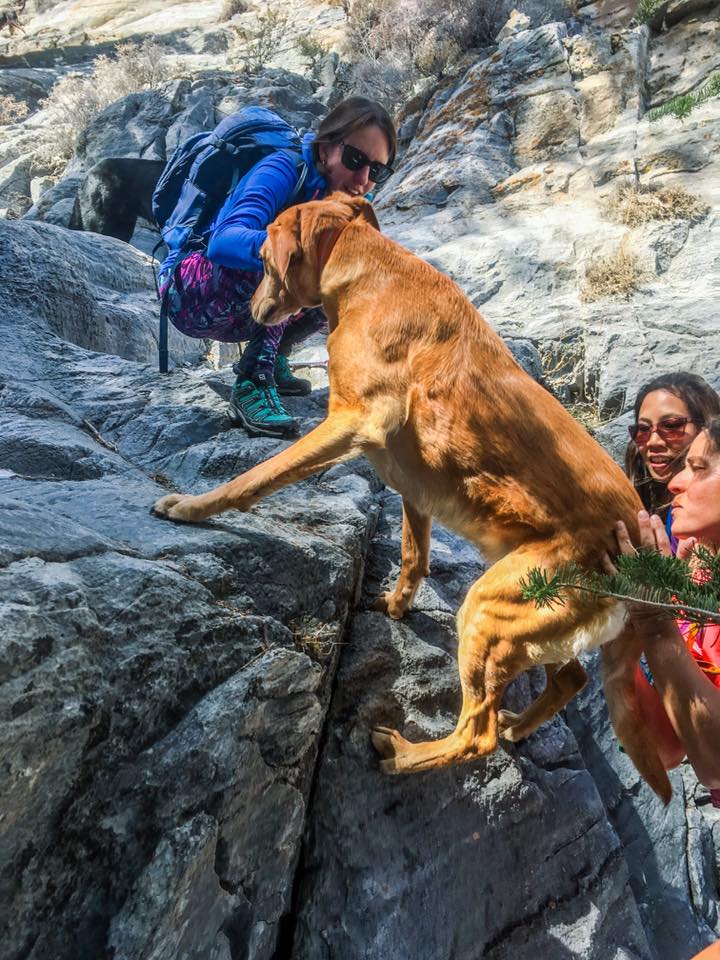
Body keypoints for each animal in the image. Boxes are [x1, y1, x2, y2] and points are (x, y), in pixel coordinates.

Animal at [155, 191, 672, 800]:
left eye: (261, 259)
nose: (254, 312)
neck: (367, 271)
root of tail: (644, 547)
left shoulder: (352, 421)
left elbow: (258, 476)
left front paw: (192, 508)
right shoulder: (415, 489)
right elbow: (412, 555)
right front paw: (397, 606)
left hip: (489, 608)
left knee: (477, 736)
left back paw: (405, 755)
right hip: (529, 610)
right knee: (567, 677)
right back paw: (519, 724)